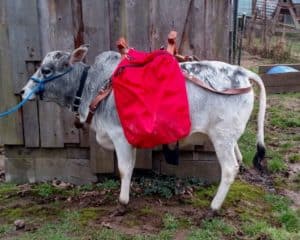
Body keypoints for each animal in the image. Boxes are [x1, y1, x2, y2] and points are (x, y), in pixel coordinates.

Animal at [20, 45, 264, 210]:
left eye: (46, 70)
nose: (23, 92)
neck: (94, 86)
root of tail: (243, 72)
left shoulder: (119, 135)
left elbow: (123, 169)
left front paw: (122, 203)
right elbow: (131, 167)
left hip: (222, 137)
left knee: (230, 169)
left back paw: (213, 208)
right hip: (229, 138)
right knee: (238, 160)